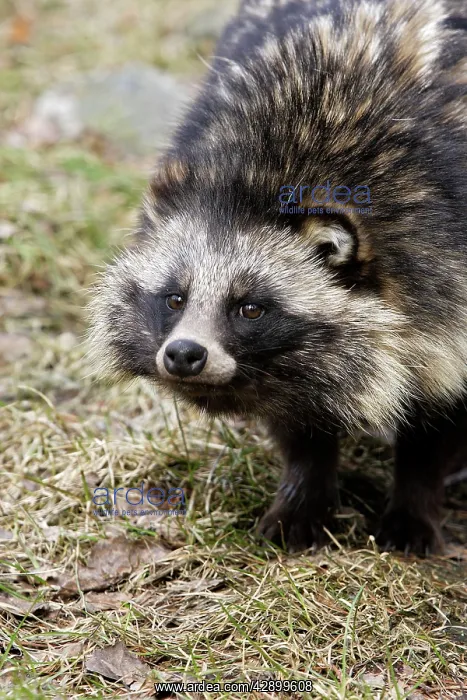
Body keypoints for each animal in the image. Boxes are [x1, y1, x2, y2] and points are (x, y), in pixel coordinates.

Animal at [89, 0, 467, 554]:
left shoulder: (446, 267)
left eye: (250, 307)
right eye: (175, 299)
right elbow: (299, 422)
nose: (183, 354)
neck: (258, 178)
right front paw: (304, 494)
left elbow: (438, 416)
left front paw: (416, 502)